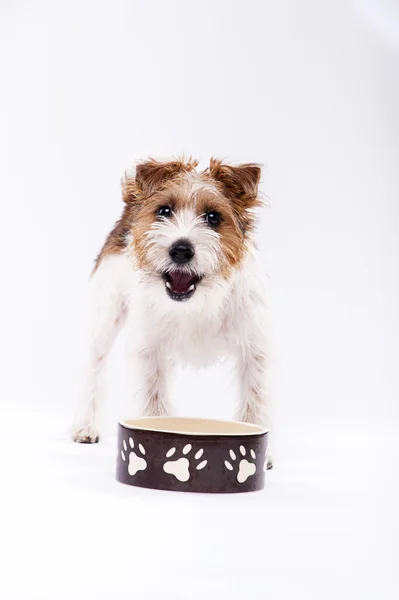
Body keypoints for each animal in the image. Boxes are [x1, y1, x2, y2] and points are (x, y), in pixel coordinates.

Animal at [72, 157, 272, 466]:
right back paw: (85, 425)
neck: (199, 302)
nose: (180, 249)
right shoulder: (149, 351)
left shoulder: (254, 350)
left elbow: (255, 398)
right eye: (164, 211)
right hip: (105, 315)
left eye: (213, 217)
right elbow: (153, 400)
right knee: (93, 367)